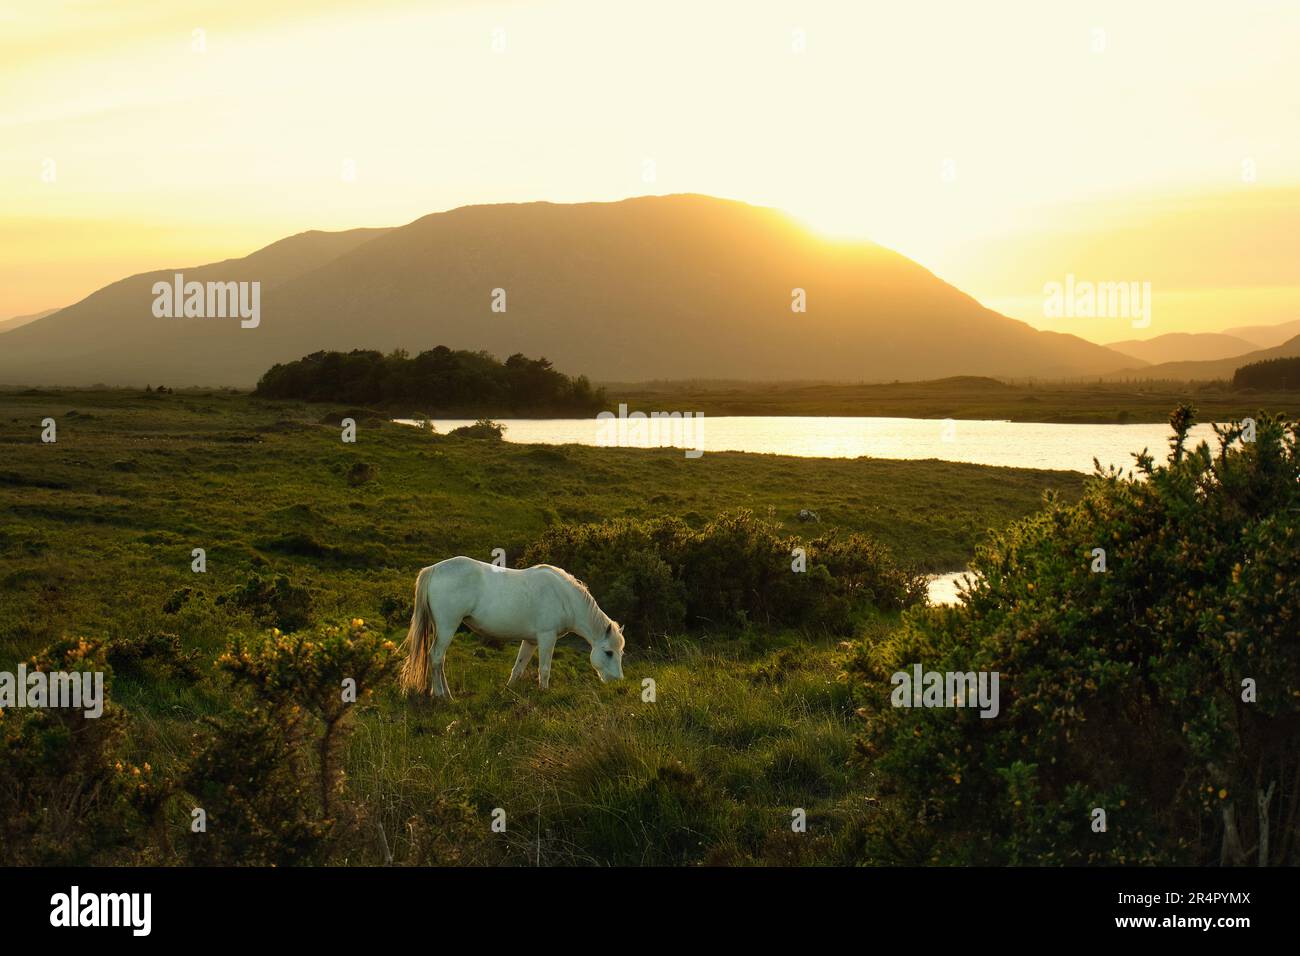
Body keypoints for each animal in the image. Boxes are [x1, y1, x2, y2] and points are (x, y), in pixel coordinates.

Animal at [400, 556, 626, 698]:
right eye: (608, 652)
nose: (618, 682)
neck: (564, 596)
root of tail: (434, 569)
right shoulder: (547, 637)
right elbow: (544, 669)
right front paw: (544, 693)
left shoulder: (531, 641)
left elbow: (518, 668)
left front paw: (508, 691)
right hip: (448, 626)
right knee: (437, 657)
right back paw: (442, 696)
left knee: (438, 660)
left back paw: (443, 693)